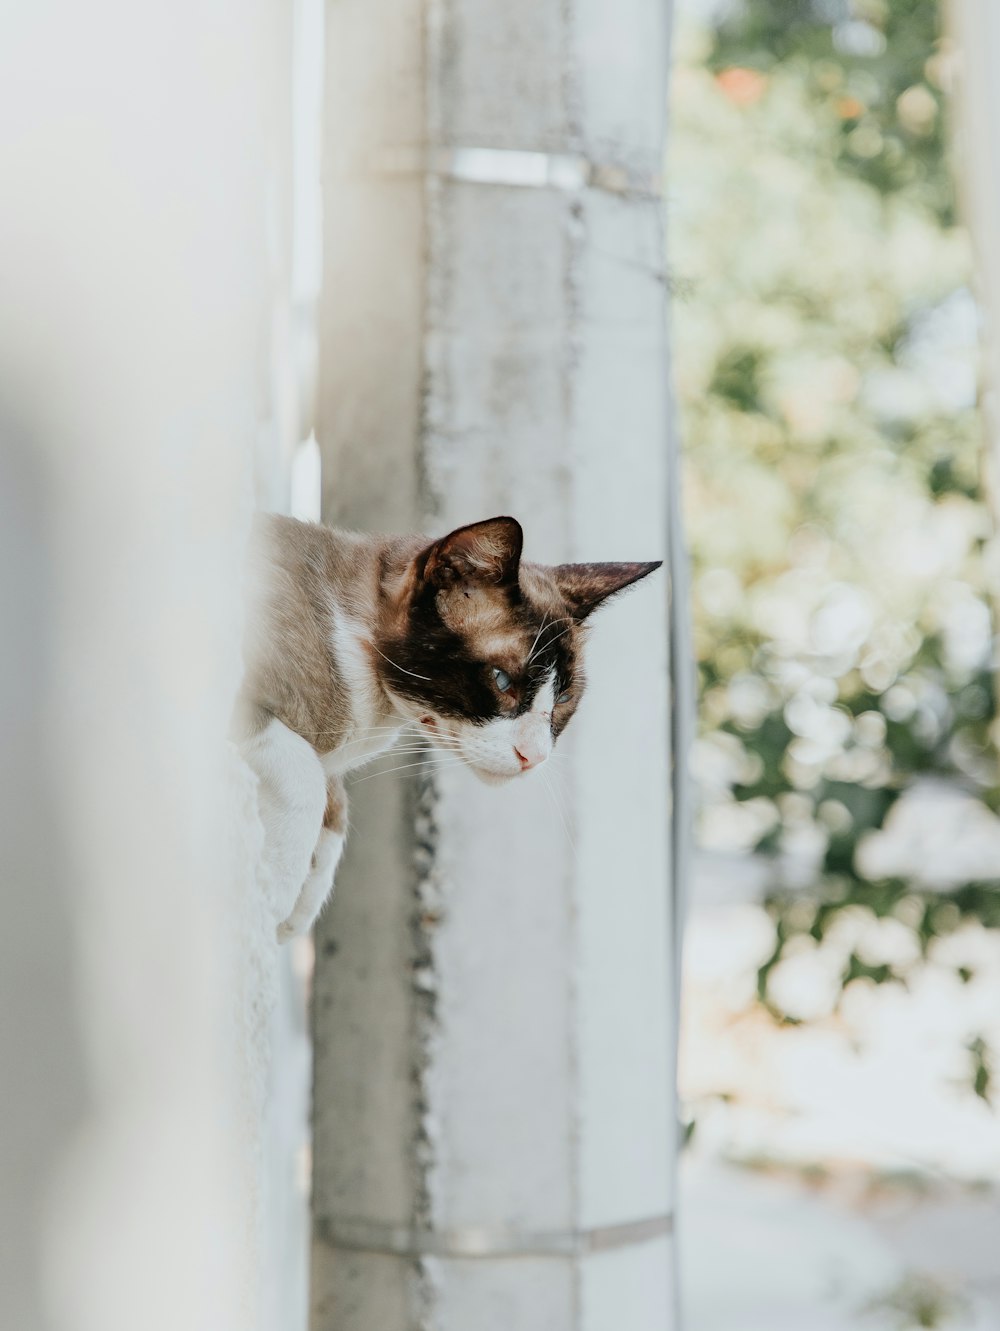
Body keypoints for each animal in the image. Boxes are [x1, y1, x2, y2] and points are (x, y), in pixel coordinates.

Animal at [237, 508, 660, 937]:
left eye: (562, 698)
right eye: (502, 680)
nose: (535, 756)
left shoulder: (330, 767)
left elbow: (333, 806)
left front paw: (296, 912)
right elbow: (305, 777)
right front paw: (274, 898)